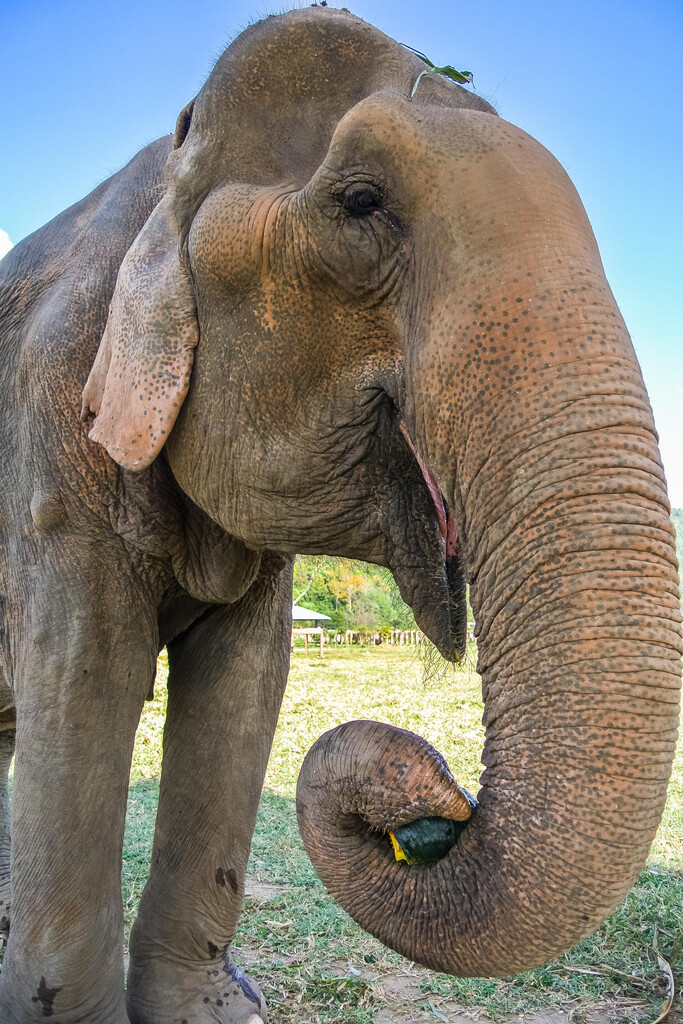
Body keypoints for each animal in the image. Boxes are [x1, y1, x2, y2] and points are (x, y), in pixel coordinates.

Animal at [0, 6, 680, 1022]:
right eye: (361, 204)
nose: (441, 809)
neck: (166, 164)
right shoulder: (54, 446)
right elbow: (87, 675)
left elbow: (245, 689)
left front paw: (215, 1010)